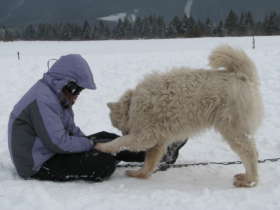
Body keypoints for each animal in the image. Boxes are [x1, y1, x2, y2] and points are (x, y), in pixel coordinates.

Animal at [95, 44, 262, 187]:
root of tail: (242, 76)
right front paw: (139, 174)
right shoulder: (158, 140)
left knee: (251, 153)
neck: (132, 104)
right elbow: (149, 163)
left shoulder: (145, 136)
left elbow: (120, 141)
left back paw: (249, 180)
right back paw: (246, 177)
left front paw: (102, 146)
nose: (125, 131)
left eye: (116, 126)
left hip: (233, 129)